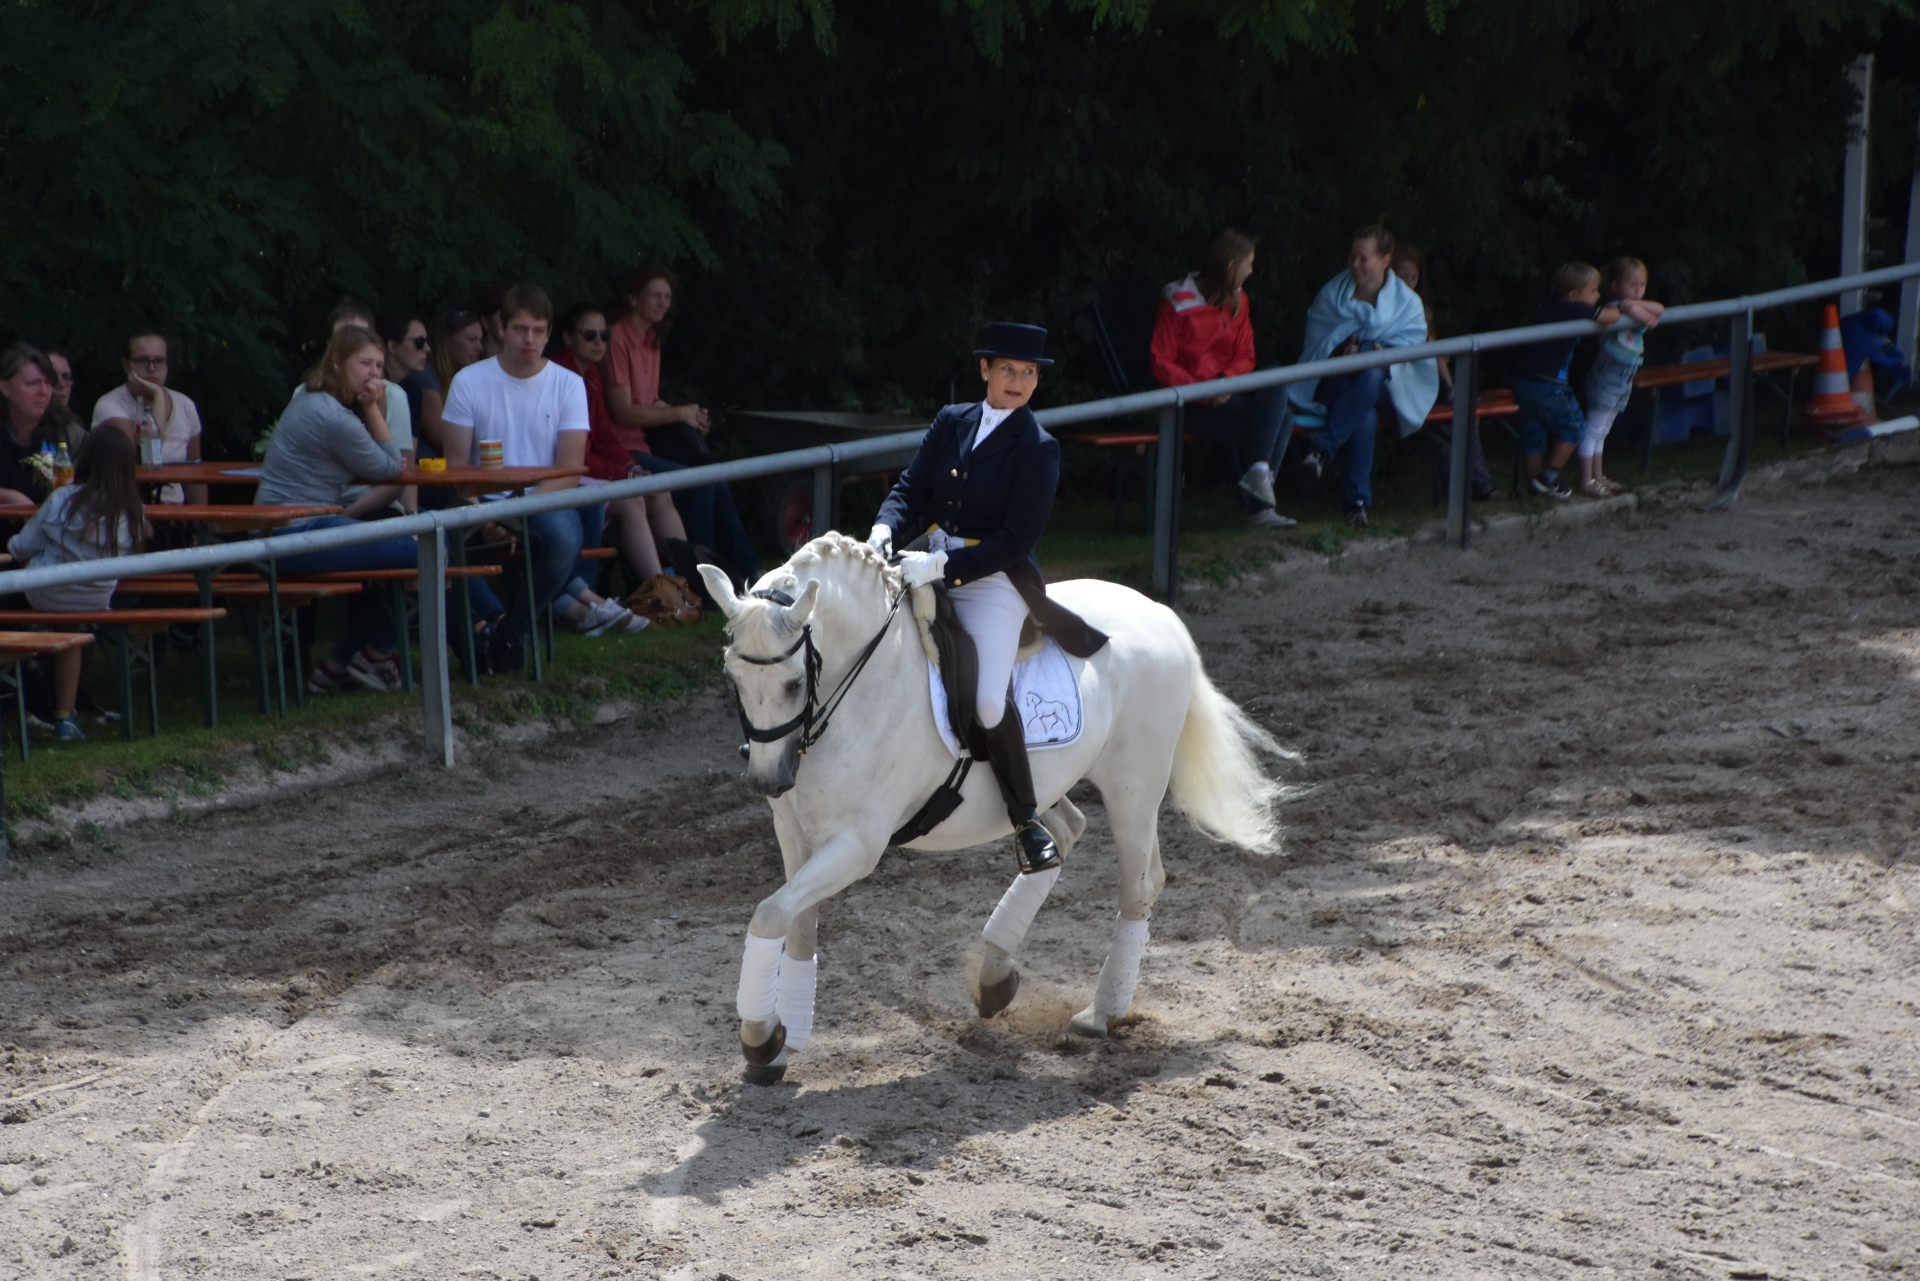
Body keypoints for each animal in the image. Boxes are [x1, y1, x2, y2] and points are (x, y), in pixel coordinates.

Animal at [700, 533, 1286, 1084]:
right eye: (731, 679)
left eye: (794, 682)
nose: (768, 780)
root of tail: (1161, 613)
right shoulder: (795, 833)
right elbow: (795, 923)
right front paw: (785, 1039)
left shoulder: (857, 845)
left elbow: (769, 912)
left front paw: (760, 1038)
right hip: (1056, 783)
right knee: (1065, 835)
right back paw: (996, 975)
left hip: (1134, 784)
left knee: (1137, 883)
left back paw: (1100, 1013)